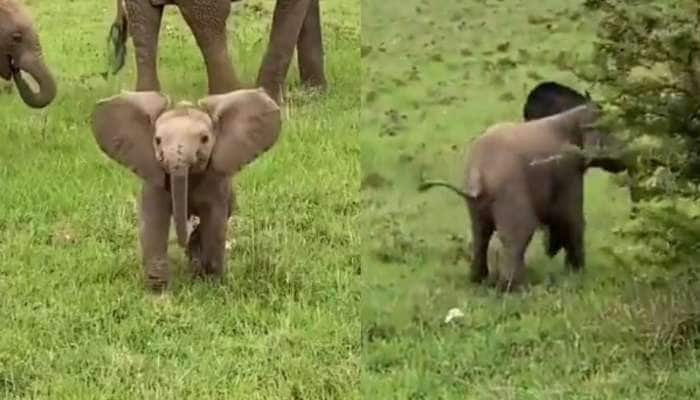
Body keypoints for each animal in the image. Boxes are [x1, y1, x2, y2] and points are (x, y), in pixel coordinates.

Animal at [91, 87, 280, 290]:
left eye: (205, 139)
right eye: (157, 140)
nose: (182, 242)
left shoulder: (215, 181)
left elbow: (214, 220)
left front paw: (211, 283)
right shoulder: (155, 178)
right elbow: (154, 219)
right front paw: (158, 291)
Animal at [418, 103, 628, 290]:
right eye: (613, 130)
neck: (571, 117)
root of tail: (478, 173)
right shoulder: (568, 169)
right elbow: (571, 219)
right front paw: (577, 275)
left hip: (476, 201)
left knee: (480, 234)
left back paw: (479, 281)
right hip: (508, 190)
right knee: (518, 234)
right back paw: (517, 289)